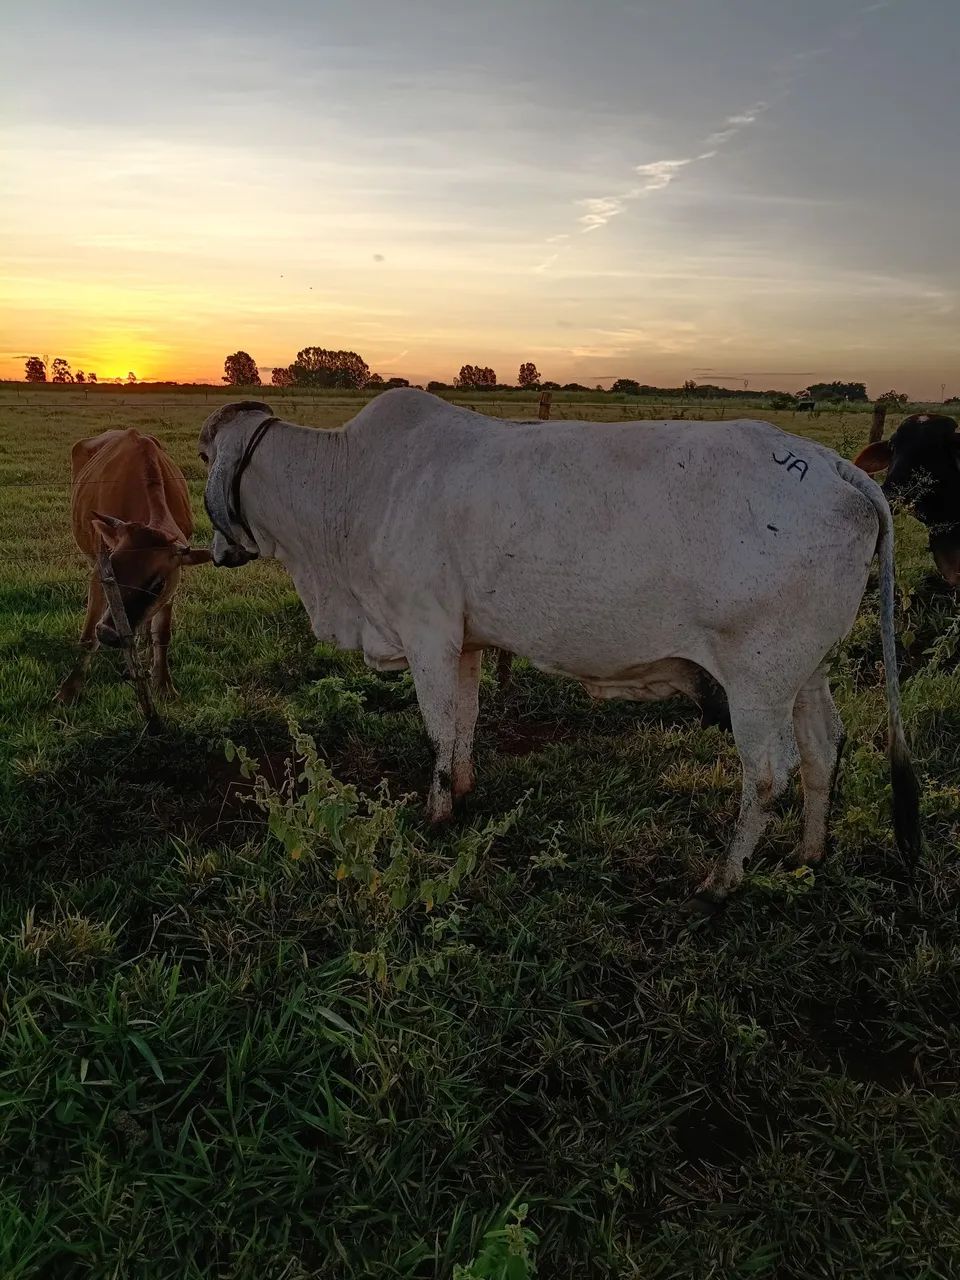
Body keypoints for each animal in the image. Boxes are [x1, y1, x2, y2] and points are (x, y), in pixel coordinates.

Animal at [56, 429, 210, 703]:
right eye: (112, 573)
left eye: (157, 584)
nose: (108, 634)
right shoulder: (99, 571)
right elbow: (88, 637)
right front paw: (68, 691)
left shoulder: (173, 581)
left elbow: (162, 634)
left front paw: (163, 684)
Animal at [198, 391, 920, 908]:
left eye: (206, 459)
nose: (214, 551)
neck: (351, 486)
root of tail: (836, 468)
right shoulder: (465, 640)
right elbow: (464, 724)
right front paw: (464, 790)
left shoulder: (427, 630)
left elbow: (436, 731)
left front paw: (436, 815)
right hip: (806, 671)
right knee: (824, 747)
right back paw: (808, 853)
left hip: (758, 678)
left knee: (769, 773)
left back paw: (723, 880)